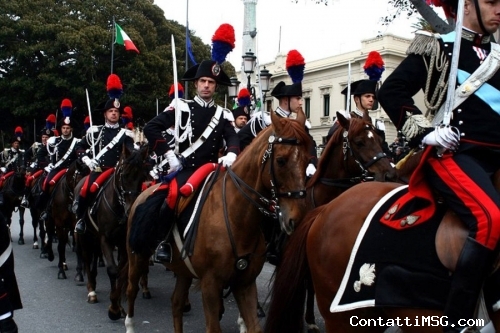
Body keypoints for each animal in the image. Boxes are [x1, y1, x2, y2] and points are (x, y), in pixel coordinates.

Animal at [74, 145, 148, 316]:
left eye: (143, 177)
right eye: (125, 175)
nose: (131, 210)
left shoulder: (123, 243)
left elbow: (121, 272)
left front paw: (118, 305)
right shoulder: (105, 239)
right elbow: (113, 270)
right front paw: (114, 308)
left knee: (94, 258)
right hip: (84, 237)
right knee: (86, 258)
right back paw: (91, 291)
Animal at [124, 109, 312, 332]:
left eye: (308, 160)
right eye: (281, 160)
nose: (297, 219)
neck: (236, 217)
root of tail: (142, 195)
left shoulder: (245, 283)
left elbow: (253, 325)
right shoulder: (210, 285)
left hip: (183, 270)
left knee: (176, 303)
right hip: (137, 257)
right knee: (131, 290)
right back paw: (128, 322)